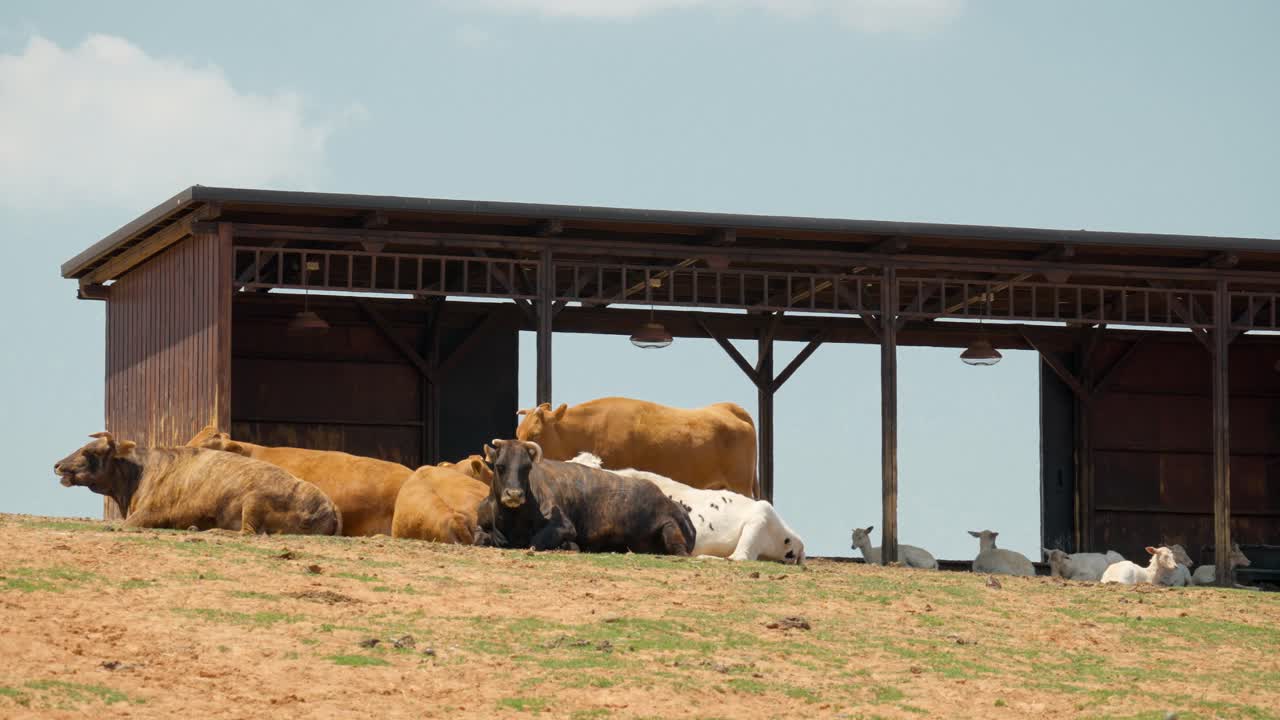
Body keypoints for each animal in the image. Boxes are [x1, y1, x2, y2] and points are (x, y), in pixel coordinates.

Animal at [54, 432, 340, 535]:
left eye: (90, 452)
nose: (57, 465)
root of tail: (329, 507)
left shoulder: (149, 514)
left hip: (253, 501)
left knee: (247, 532)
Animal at [480, 439, 695, 555]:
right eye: (500, 466)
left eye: (526, 467)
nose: (514, 494)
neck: (512, 519)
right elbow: (481, 538)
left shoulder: (563, 525)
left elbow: (536, 541)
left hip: (670, 528)